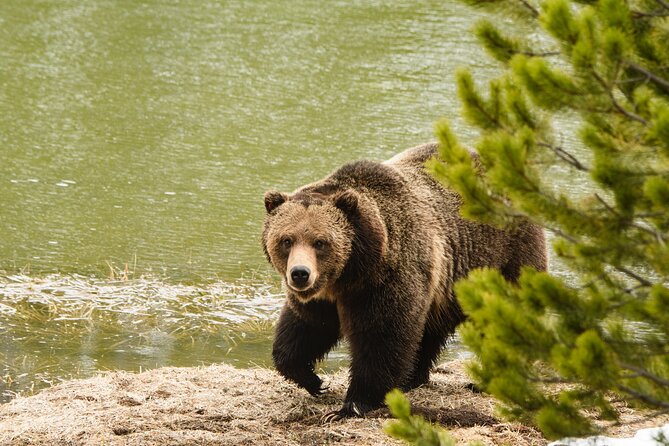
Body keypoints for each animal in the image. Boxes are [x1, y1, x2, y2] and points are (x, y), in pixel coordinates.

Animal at [258, 144, 544, 422]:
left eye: (320, 242)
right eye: (286, 240)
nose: (300, 273)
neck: (350, 273)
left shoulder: (387, 277)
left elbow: (383, 334)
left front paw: (352, 404)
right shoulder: (323, 297)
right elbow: (306, 328)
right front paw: (313, 380)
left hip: (504, 258)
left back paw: (489, 379)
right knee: (429, 330)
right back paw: (412, 378)